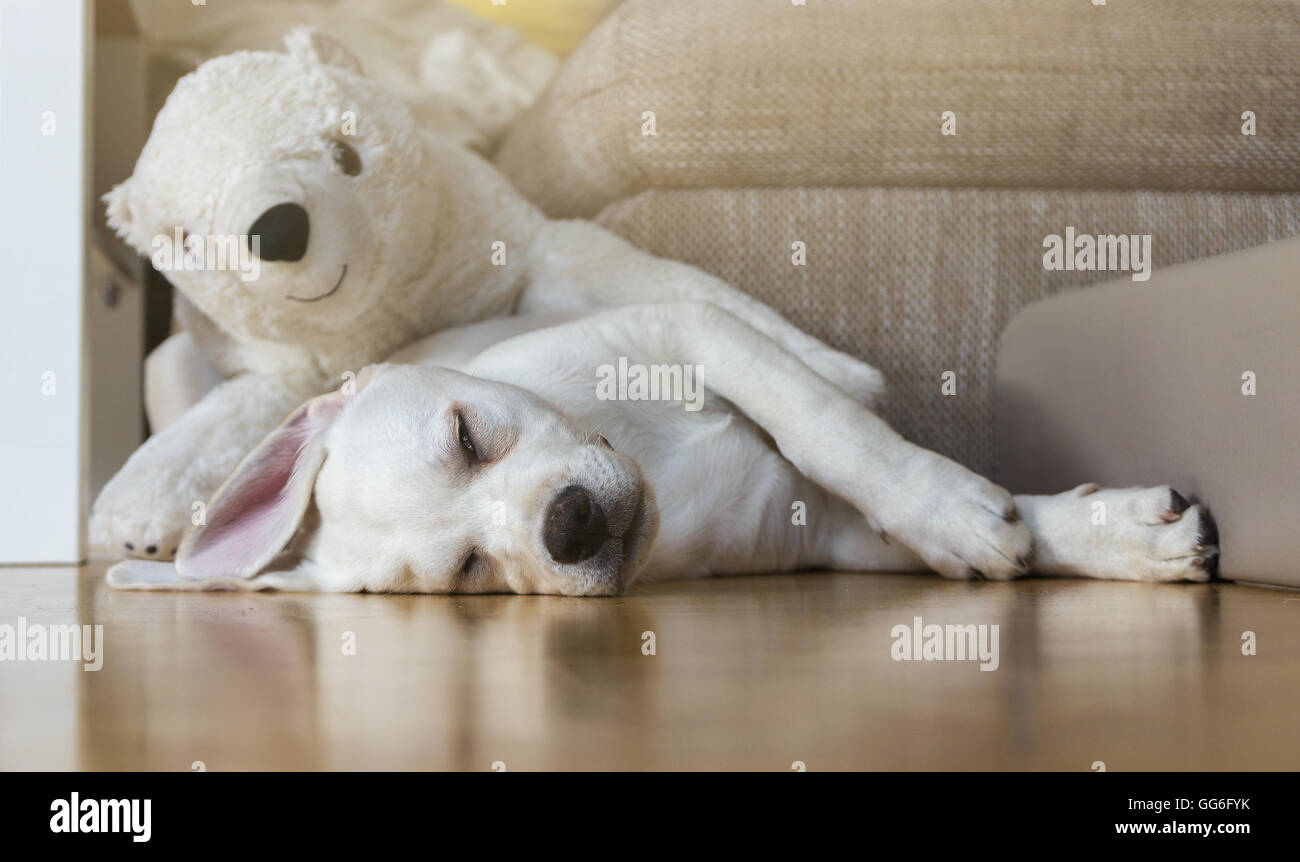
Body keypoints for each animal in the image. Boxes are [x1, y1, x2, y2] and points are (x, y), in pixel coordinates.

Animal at [104, 306, 1216, 598]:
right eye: (471, 573)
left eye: (468, 434)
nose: (566, 525)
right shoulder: (825, 536)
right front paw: (1108, 534)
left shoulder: (689, 331)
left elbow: (835, 427)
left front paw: (954, 501)